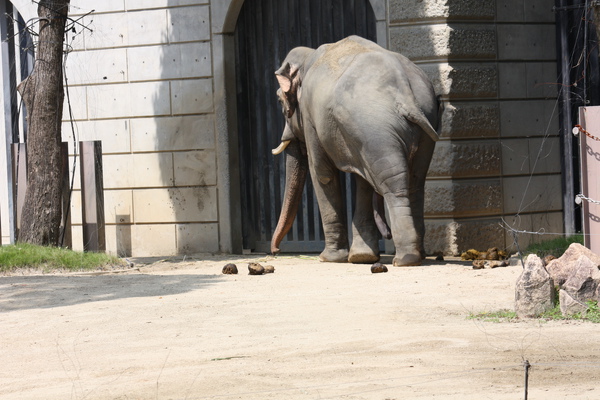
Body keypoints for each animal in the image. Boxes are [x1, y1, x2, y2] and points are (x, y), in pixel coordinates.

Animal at [270, 34, 440, 266]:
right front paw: (362, 257)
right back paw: (418, 255)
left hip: (375, 127)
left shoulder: (311, 117)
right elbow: (362, 180)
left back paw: (405, 259)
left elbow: (322, 174)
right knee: (415, 182)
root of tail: (405, 93)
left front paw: (329, 258)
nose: (275, 251)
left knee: (394, 184)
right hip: (407, 128)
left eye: (280, 100)